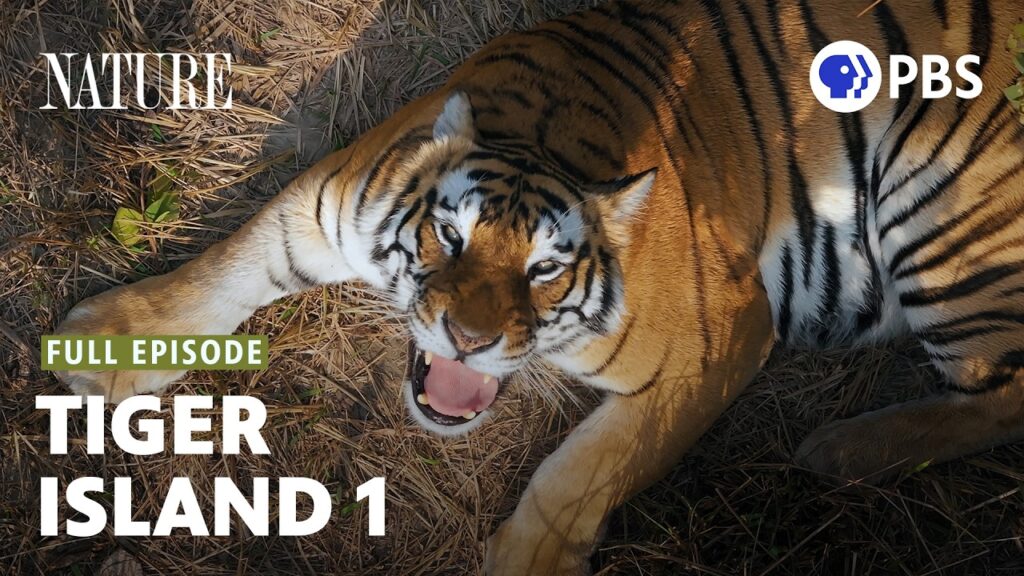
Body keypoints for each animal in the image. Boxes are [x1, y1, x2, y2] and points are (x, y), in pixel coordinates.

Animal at [54, 0, 1024, 573]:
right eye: (448, 237)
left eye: (546, 270)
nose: (469, 340)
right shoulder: (317, 208)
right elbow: (219, 271)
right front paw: (104, 343)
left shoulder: (719, 341)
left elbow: (583, 469)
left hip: (939, 212)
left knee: (1002, 399)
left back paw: (841, 451)